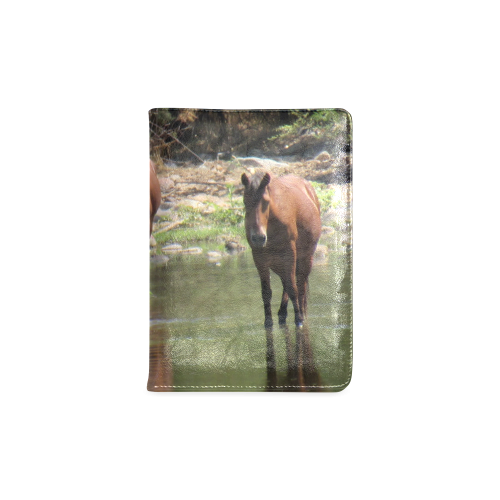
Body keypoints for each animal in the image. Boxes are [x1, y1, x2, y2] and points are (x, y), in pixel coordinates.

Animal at [241, 172, 320, 328]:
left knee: (300, 285)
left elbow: (293, 288)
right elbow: (266, 292)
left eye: (266, 202)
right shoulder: (259, 257)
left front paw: (299, 319)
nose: (258, 238)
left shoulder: (289, 253)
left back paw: (301, 313)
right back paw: (282, 313)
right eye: (245, 202)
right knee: (287, 284)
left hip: (305, 258)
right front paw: (268, 321)